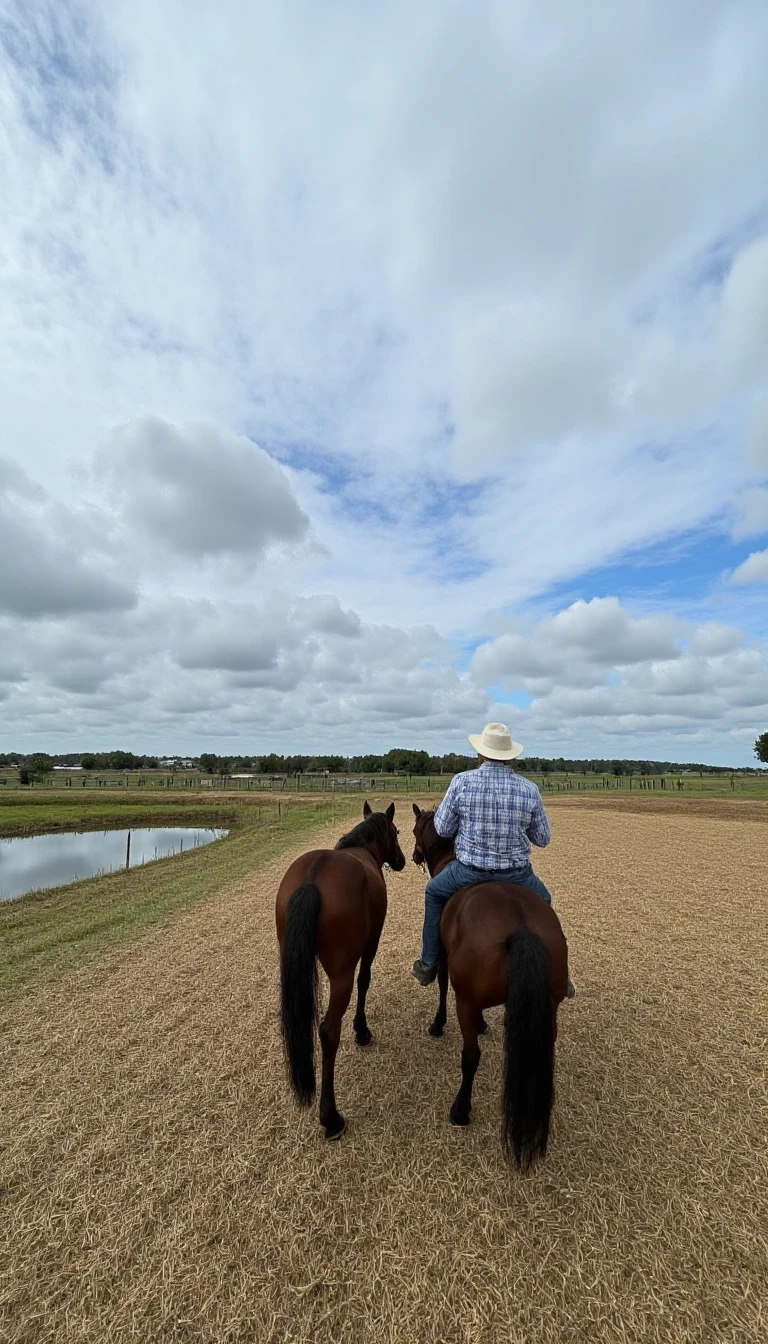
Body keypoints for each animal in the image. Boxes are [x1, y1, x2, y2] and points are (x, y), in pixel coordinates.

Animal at [277, 801, 408, 1139]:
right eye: (396, 831)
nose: (402, 860)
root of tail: (313, 877)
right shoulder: (372, 940)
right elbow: (365, 979)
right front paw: (361, 1030)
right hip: (340, 975)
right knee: (327, 1030)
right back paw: (330, 1115)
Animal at [414, 801, 570, 1171]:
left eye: (414, 830)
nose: (413, 855)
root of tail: (520, 927)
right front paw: (486, 1024)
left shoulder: (445, 959)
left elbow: (441, 986)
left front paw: (438, 1024)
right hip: (549, 1008)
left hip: (466, 1001)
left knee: (470, 1057)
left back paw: (460, 1110)